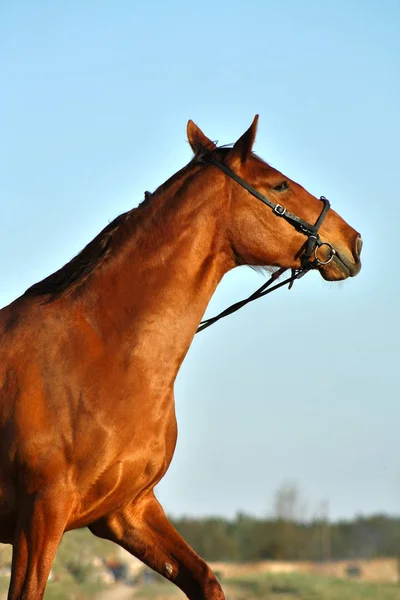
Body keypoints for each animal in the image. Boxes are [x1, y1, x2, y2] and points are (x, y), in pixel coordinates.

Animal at [0, 117, 362, 600]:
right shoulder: (41, 513)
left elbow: (206, 580)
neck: (103, 352)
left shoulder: (128, 509)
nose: (353, 241)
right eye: (280, 184)